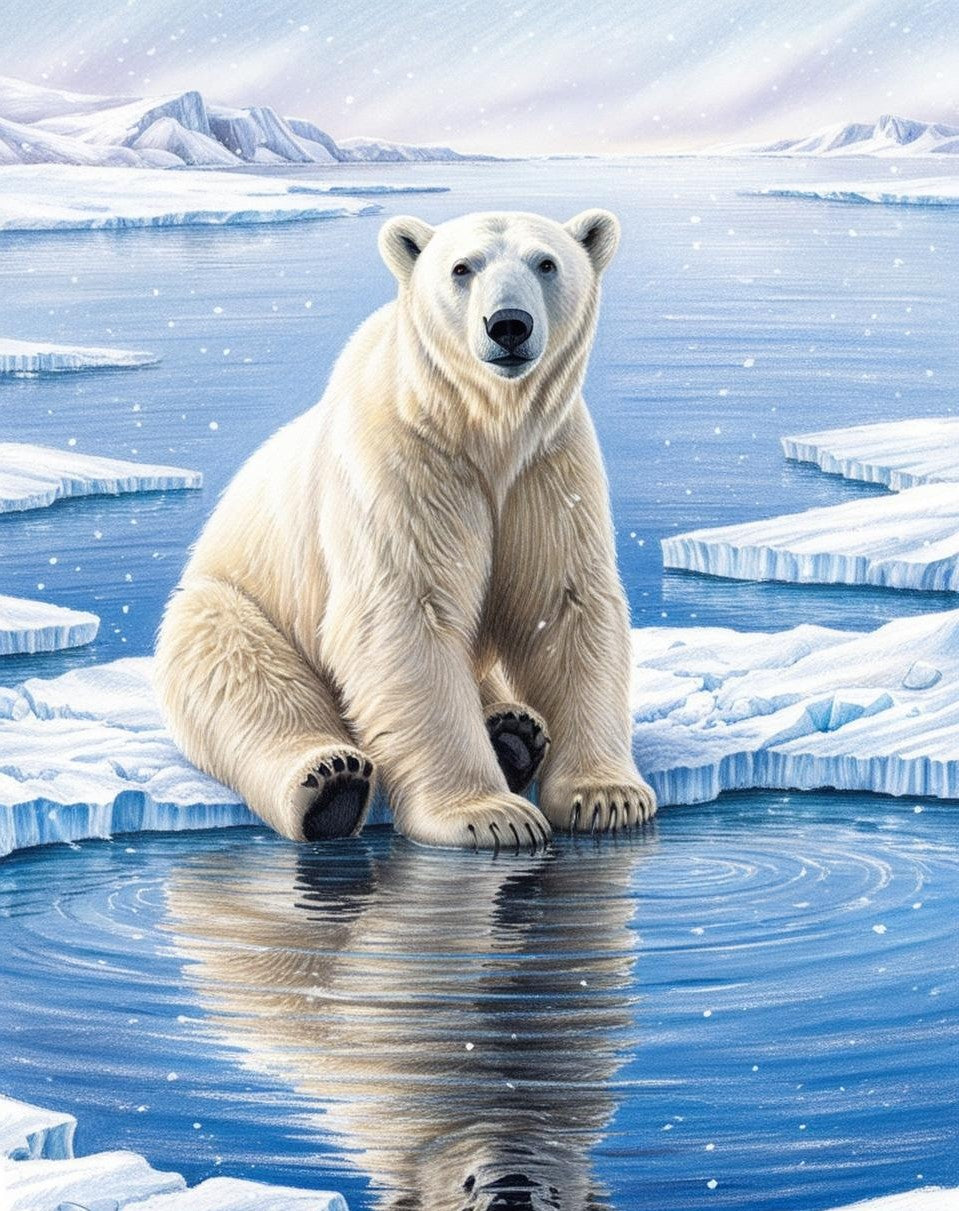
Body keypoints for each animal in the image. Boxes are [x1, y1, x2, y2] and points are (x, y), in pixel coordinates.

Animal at [154, 207, 656, 849]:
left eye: (546, 263)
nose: (508, 325)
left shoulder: (548, 468)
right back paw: (332, 784)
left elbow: (564, 603)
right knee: (248, 682)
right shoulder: (403, 462)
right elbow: (406, 612)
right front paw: (490, 814)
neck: (484, 426)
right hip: (233, 604)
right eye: (462, 267)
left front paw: (608, 797)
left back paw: (514, 733)